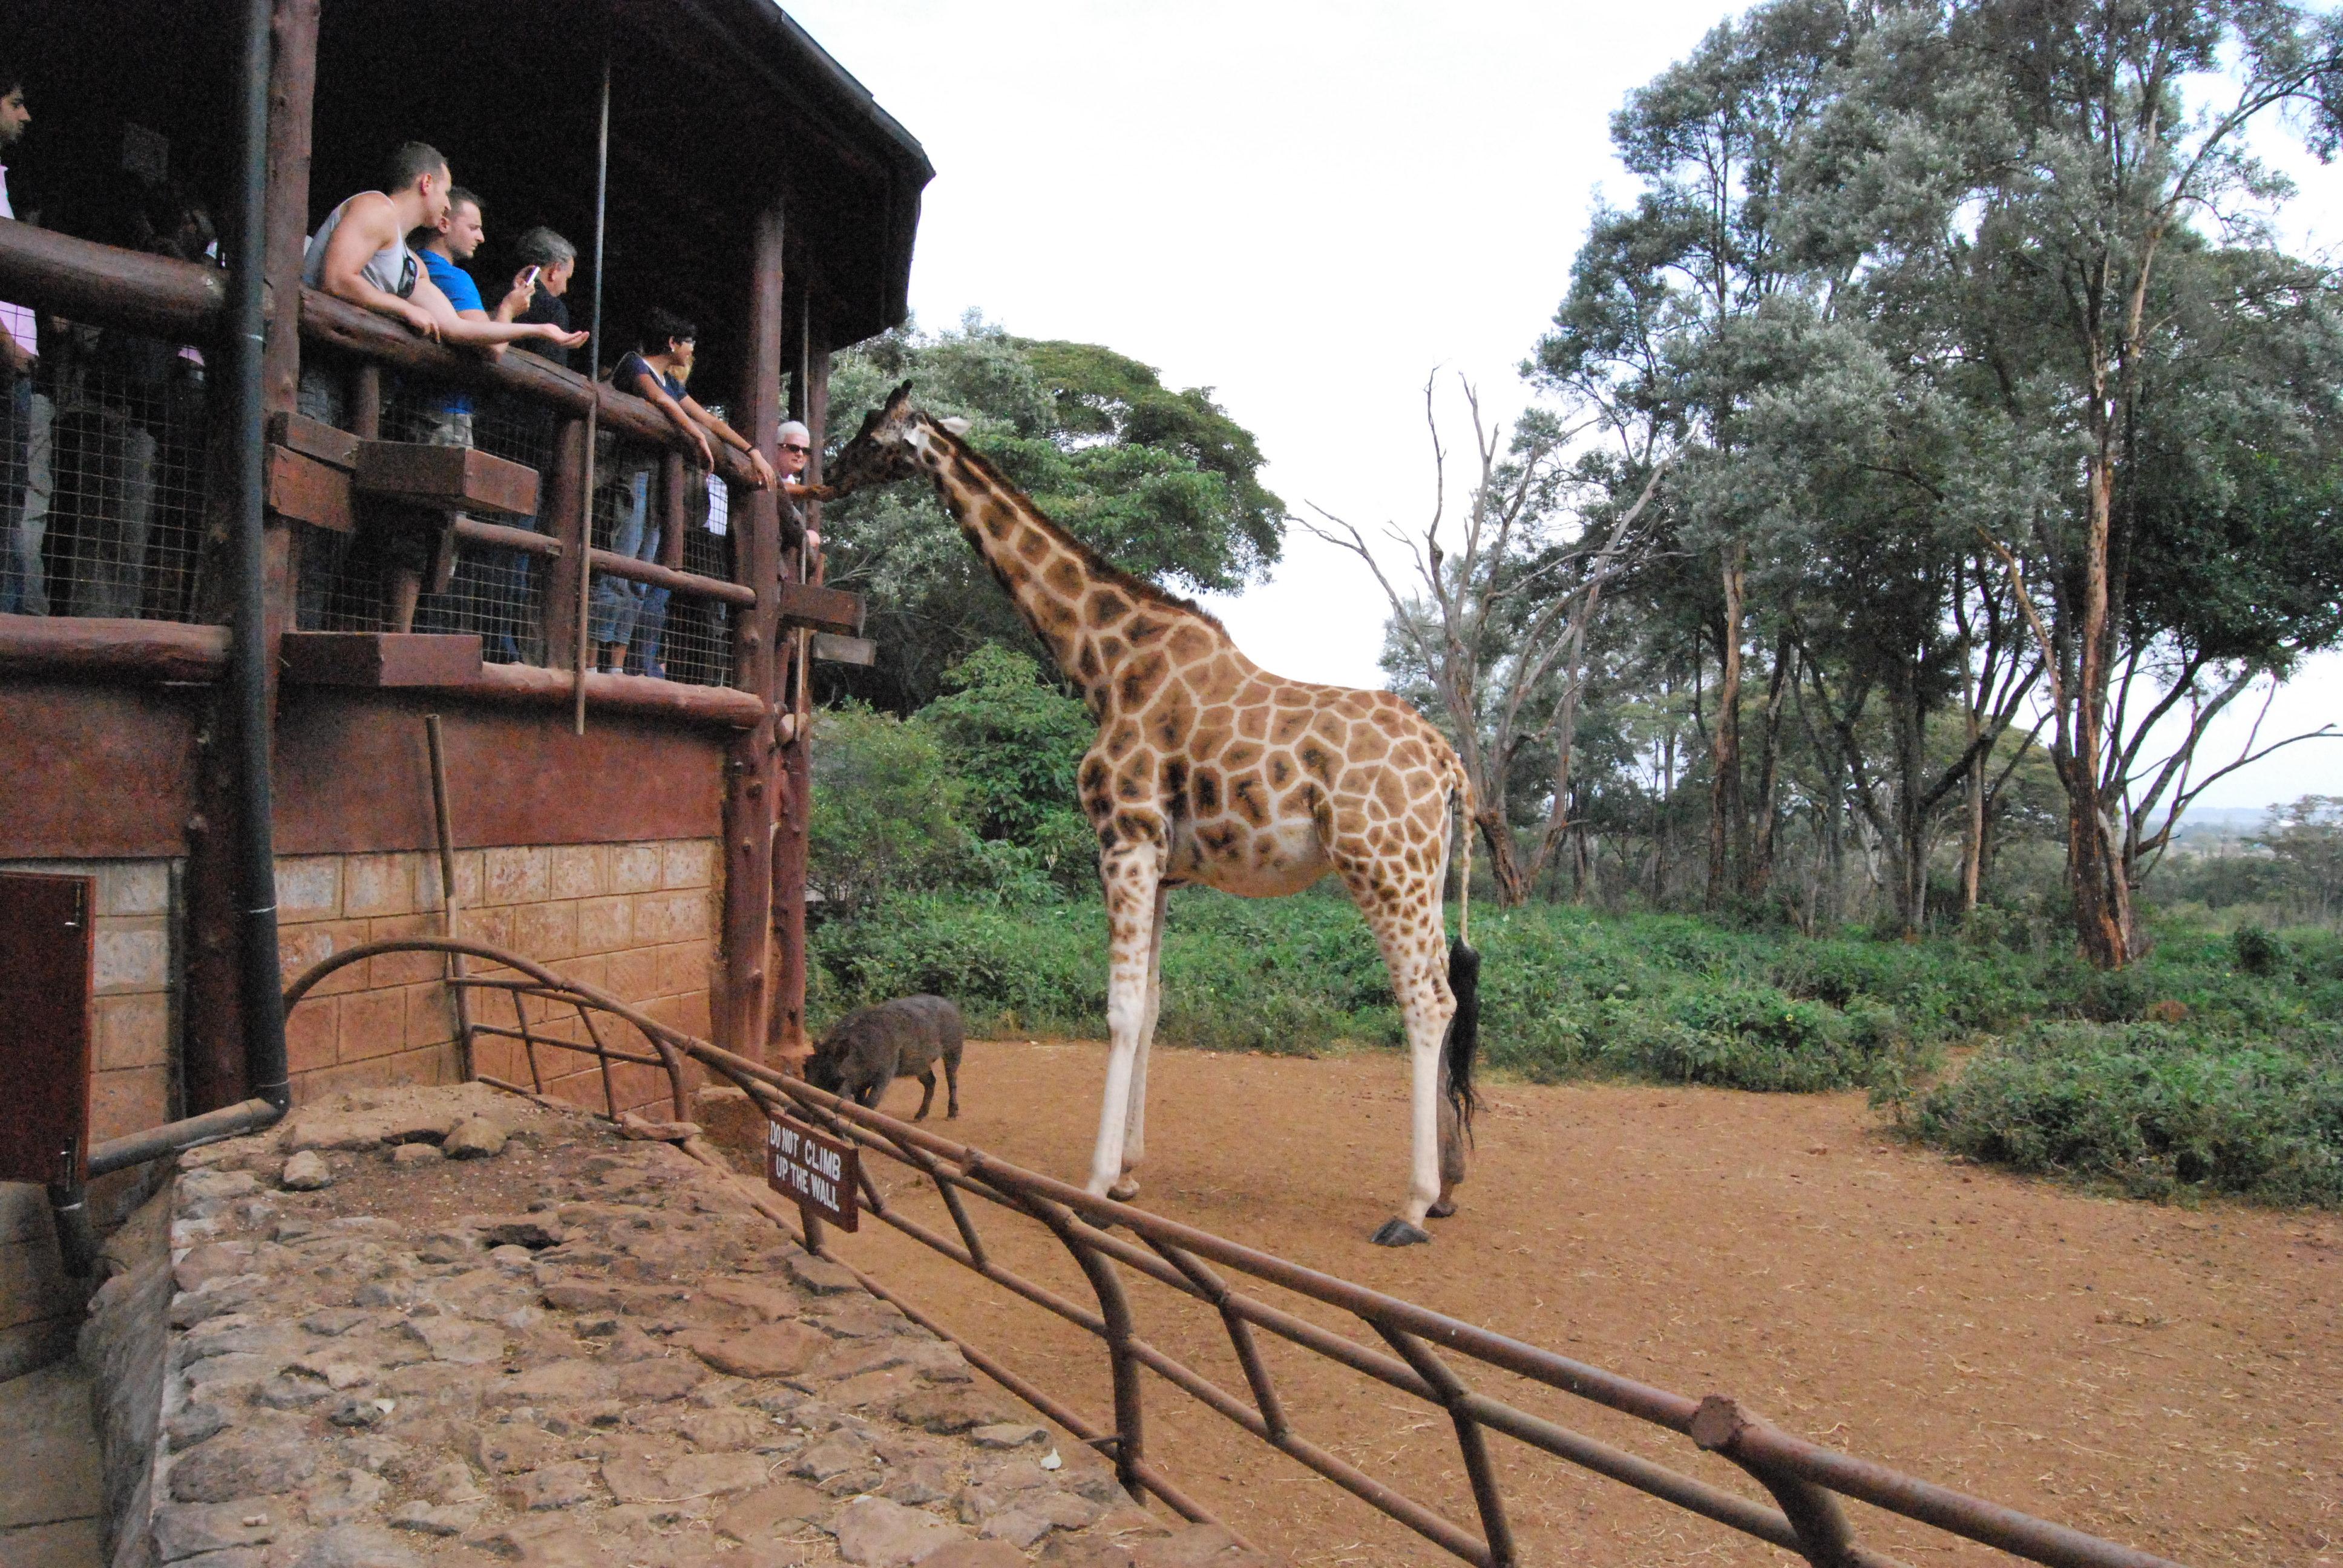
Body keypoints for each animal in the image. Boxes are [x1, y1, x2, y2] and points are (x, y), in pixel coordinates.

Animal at [824, 384, 1481, 1237]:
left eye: (873, 434)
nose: (825, 477)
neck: (1104, 665)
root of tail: (1447, 763)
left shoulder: (1123, 839)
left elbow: (1120, 1009)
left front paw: (1098, 1182)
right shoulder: (1163, 866)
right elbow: (1156, 1007)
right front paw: (1131, 1174)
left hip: (1380, 864)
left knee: (1425, 1001)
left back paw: (1410, 1205)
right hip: (1420, 870)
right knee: (1446, 990)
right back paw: (1448, 1188)